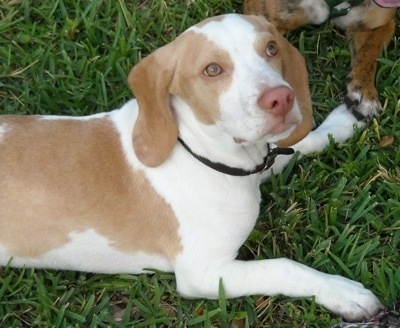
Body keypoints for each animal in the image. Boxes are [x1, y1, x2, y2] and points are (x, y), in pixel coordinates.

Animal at [0, 14, 382, 320]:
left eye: (271, 48)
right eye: (212, 70)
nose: (282, 98)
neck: (202, 153)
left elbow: (297, 144)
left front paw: (342, 123)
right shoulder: (204, 273)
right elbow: (284, 267)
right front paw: (342, 292)